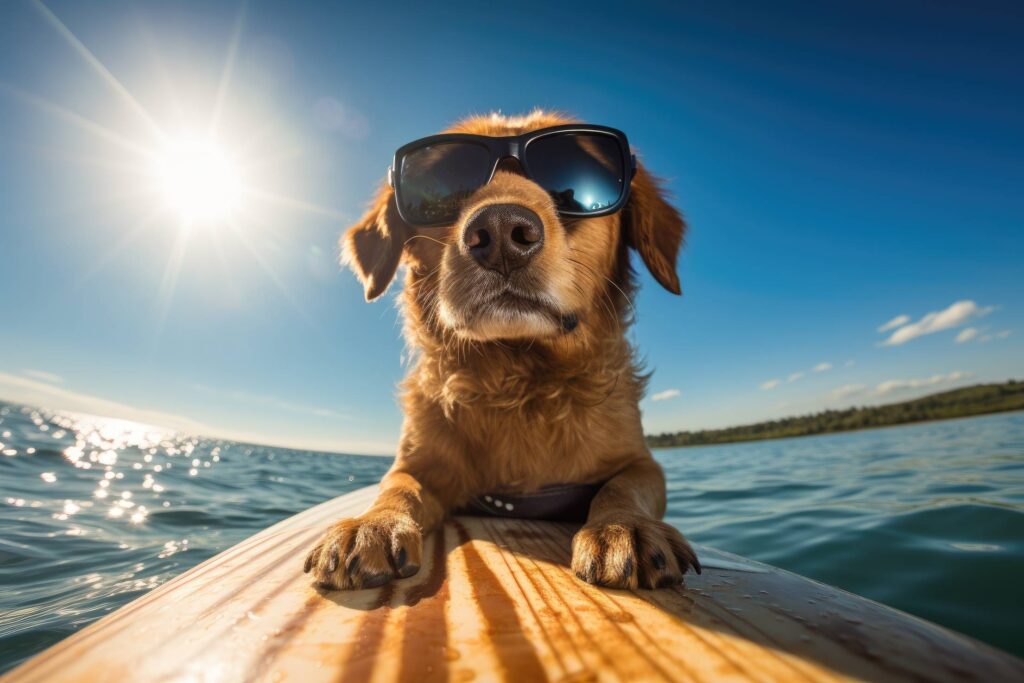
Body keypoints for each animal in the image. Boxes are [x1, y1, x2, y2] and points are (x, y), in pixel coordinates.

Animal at [303, 109, 700, 589]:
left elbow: (623, 486)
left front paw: (624, 526)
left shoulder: (641, 462)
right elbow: (399, 487)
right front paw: (372, 524)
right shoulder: (418, 464)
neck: (517, 377)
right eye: (444, 179)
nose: (500, 231)